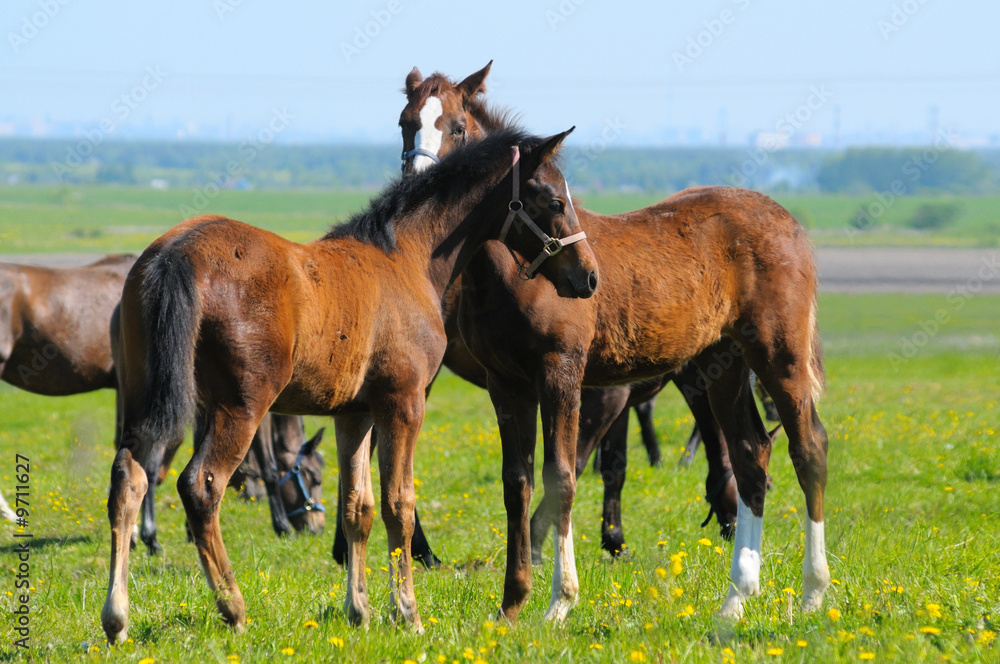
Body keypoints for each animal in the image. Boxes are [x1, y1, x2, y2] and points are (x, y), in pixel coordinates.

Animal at [100, 127, 598, 643]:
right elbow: (399, 504)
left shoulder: (354, 415)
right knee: (201, 487)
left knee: (128, 479)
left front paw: (359, 610)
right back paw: (233, 608)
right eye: (555, 200)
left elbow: (357, 507)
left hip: (148, 399)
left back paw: (117, 618)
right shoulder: (403, 404)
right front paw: (408, 613)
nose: (588, 276)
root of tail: (176, 252)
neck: (407, 259)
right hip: (238, 406)